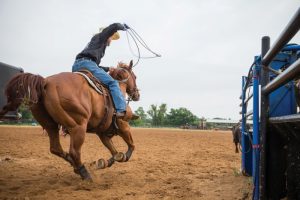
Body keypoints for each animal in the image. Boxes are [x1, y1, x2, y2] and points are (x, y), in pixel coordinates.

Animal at [0, 60, 141, 180]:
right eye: (135, 76)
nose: (137, 94)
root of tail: (46, 82)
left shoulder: (102, 133)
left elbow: (114, 151)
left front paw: (105, 162)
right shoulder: (123, 126)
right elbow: (131, 146)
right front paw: (122, 157)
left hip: (50, 125)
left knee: (56, 148)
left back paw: (75, 167)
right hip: (78, 127)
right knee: (74, 152)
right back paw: (85, 174)